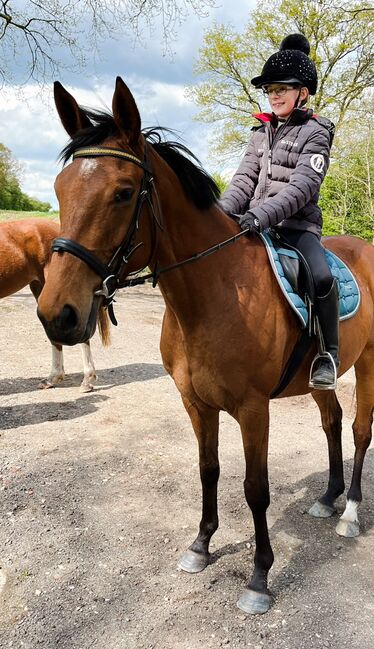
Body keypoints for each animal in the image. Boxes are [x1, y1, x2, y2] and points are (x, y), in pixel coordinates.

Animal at [35, 79, 374, 612]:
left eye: (123, 193)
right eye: (59, 190)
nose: (57, 315)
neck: (214, 293)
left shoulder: (254, 409)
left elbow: (255, 488)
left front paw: (259, 578)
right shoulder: (195, 402)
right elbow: (208, 469)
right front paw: (200, 545)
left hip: (370, 364)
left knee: (360, 431)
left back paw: (350, 514)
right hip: (321, 376)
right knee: (333, 421)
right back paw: (328, 498)